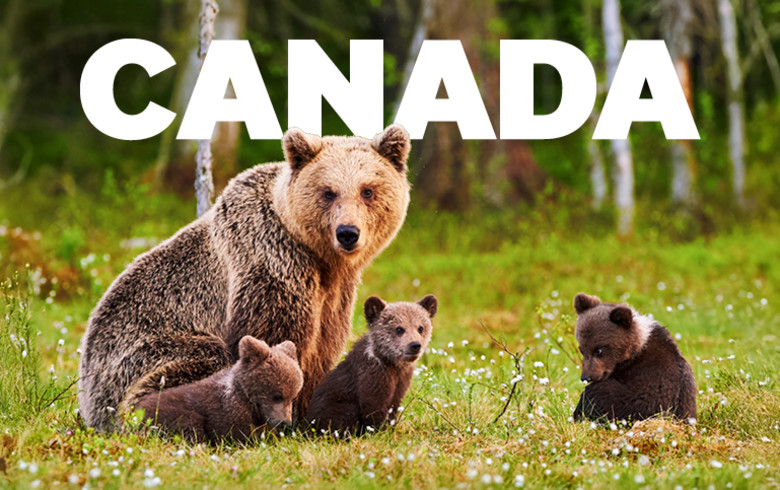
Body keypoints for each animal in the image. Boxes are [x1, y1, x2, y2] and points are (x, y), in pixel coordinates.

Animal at [77, 125, 412, 431]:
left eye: (368, 190)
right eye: (328, 192)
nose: (347, 233)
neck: (319, 258)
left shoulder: (335, 294)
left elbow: (322, 348)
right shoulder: (270, 261)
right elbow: (273, 338)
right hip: (137, 355)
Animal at [306, 294, 437, 435]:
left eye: (420, 328)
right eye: (399, 328)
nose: (415, 345)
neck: (391, 363)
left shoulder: (401, 380)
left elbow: (394, 406)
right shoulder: (372, 377)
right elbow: (373, 407)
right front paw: (379, 432)